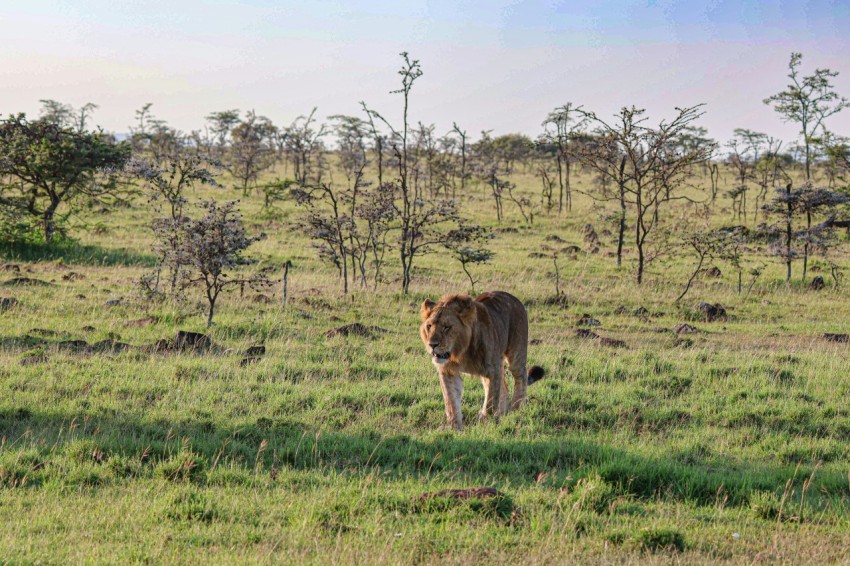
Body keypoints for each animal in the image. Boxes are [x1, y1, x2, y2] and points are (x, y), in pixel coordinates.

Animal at [418, 292, 544, 430]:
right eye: (429, 326)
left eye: (446, 327)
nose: (432, 344)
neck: (460, 352)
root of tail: (514, 298)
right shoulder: (448, 371)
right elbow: (451, 401)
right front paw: (454, 428)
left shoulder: (492, 370)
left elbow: (490, 402)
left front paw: (485, 424)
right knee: (504, 389)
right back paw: (502, 415)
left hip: (515, 356)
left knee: (521, 379)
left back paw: (516, 410)